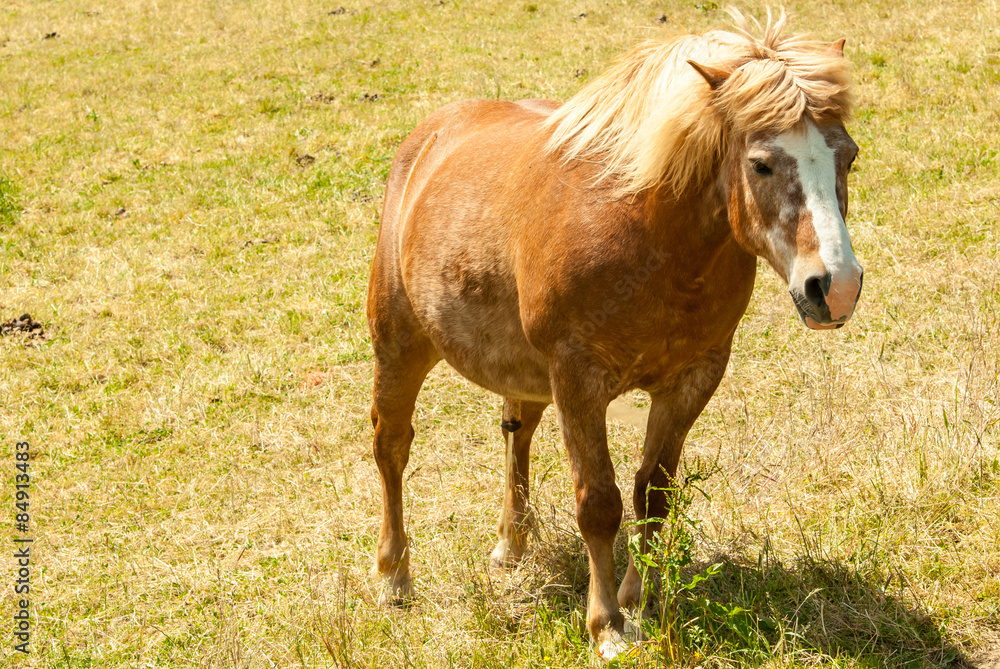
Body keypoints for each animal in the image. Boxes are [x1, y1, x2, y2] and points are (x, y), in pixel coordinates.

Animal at [365, 11, 863, 659]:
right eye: (761, 163)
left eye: (848, 157)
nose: (837, 286)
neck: (651, 234)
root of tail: (429, 137)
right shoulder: (579, 378)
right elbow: (600, 504)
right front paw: (605, 626)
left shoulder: (693, 378)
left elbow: (654, 495)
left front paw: (639, 604)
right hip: (400, 345)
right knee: (392, 447)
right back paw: (394, 577)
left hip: (525, 375)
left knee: (517, 433)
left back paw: (510, 546)